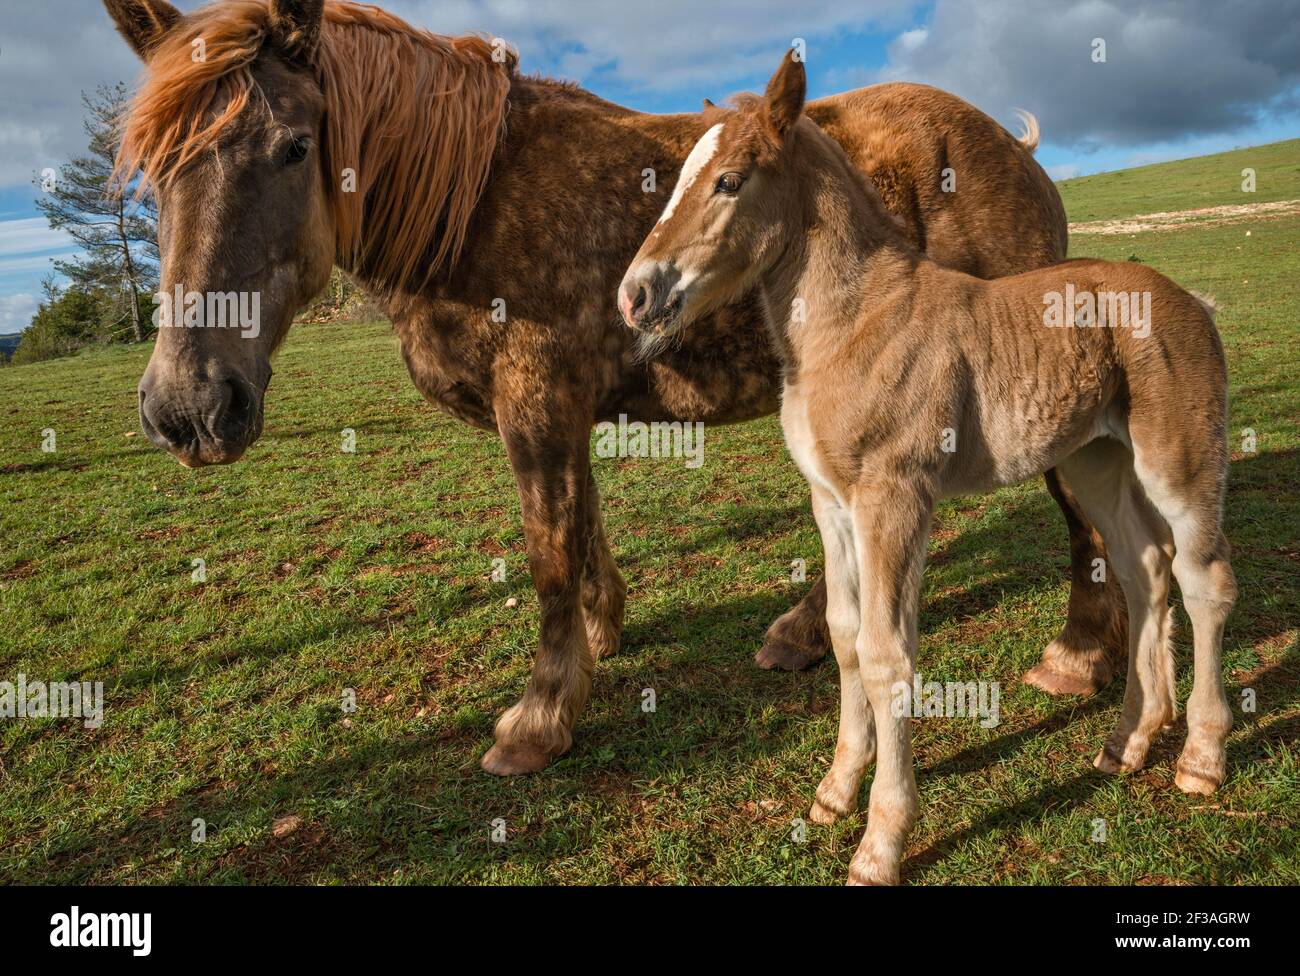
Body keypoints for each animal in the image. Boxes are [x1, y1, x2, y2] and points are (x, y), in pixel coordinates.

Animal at [104, 0, 1124, 776]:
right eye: (152, 169)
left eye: (290, 147)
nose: (189, 406)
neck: (476, 200)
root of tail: (1013, 148)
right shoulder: (555, 410)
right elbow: (582, 529)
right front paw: (602, 636)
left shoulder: (537, 403)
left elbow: (550, 552)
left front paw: (541, 713)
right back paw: (801, 634)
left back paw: (1078, 657)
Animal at [619, 52, 1235, 884]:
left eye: (730, 180)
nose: (635, 294)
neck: (854, 322)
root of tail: (1192, 300)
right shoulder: (831, 502)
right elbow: (846, 636)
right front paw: (835, 790)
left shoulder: (895, 498)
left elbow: (889, 654)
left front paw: (881, 840)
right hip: (1096, 463)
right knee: (1145, 570)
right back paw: (1128, 741)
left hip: (1179, 460)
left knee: (1205, 580)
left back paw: (1200, 758)